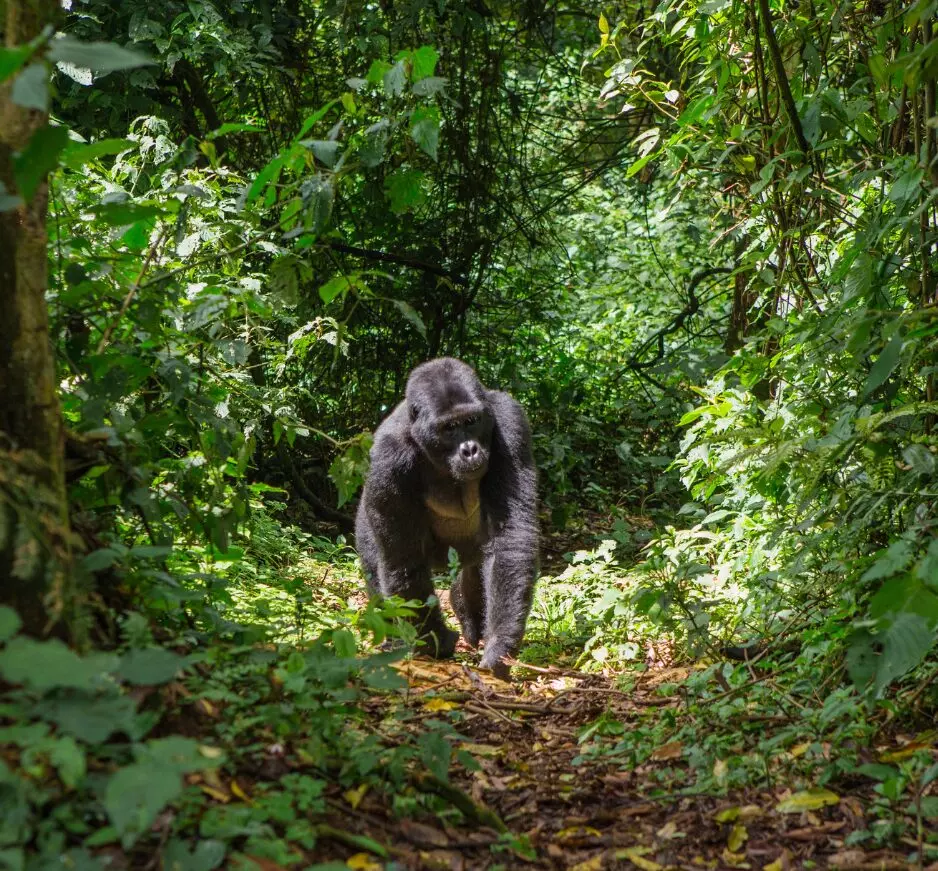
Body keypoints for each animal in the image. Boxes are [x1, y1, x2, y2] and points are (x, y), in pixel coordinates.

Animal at [355, 358, 539, 679]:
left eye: (472, 421)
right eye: (449, 428)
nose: (470, 450)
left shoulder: (510, 421)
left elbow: (510, 538)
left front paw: (499, 645)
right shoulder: (387, 457)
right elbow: (404, 559)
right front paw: (435, 642)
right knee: (376, 564)